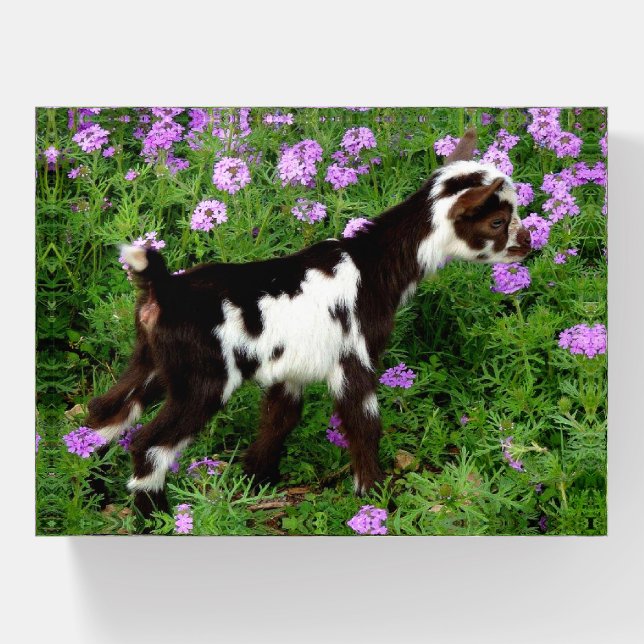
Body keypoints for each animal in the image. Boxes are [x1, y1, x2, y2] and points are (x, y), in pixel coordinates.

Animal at [86, 130, 532, 518]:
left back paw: (85, 484)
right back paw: (156, 518)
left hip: (153, 361)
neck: (372, 266)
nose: (528, 244)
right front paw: (375, 497)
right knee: (149, 444)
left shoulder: (293, 366)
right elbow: (364, 424)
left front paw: (255, 480)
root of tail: (161, 287)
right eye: (497, 222)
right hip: (204, 378)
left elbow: (279, 420)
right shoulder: (354, 356)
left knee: (105, 412)